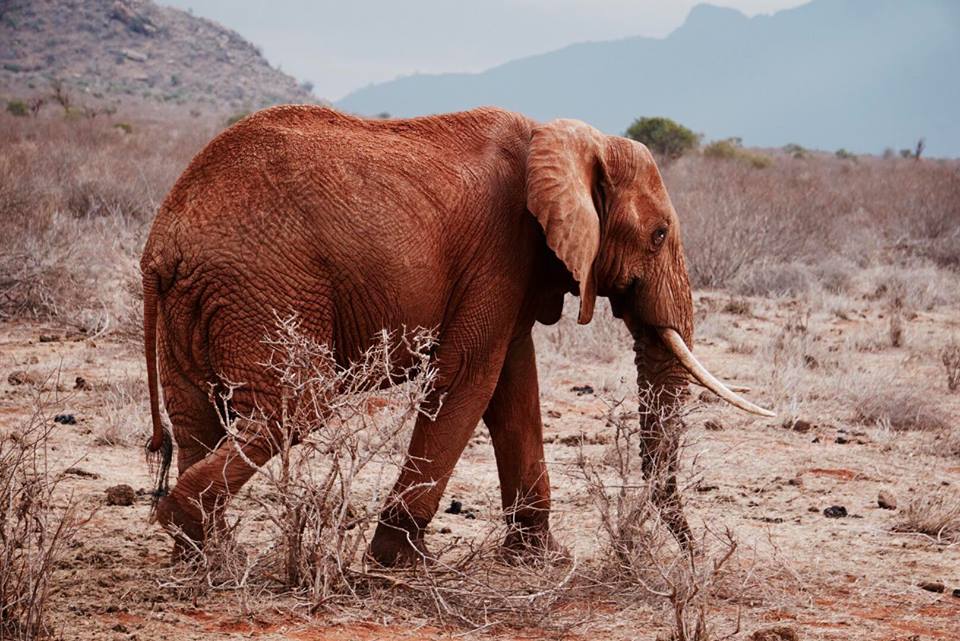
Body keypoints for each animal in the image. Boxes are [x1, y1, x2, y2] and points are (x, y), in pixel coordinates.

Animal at [141, 106, 772, 564]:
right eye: (659, 234)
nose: (695, 555)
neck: (564, 139)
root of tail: (165, 241)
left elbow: (514, 390)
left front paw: (540, 560)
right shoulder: (500, 248)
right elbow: (469, 376)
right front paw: (400, 563)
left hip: (200, 303)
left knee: (198, 414)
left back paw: (205, 556)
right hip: (264, 286)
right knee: (298, 403)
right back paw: (190, 529)